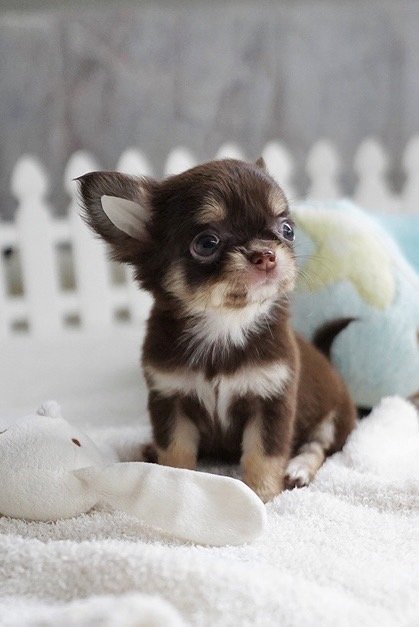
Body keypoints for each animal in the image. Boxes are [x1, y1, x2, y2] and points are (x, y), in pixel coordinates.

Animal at [78, 158, 356, 502]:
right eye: (206, 243)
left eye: (287, 230)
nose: (266, 254)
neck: (224, 326)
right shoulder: (170, 400)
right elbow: (176, 452)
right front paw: (176, 483)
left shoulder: (272, 401)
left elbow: (264, 455)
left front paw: (263, 496)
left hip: (336, 415)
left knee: (319, 445)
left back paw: (299, 468)